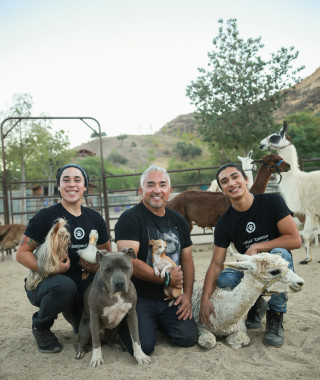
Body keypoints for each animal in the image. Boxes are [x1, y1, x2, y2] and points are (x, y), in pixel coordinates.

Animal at [260, 121, 320, 264]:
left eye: (274, 137)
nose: (260, 144)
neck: (297, 181)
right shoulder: (314, 213)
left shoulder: (311, 211)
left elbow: (307, 236)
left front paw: (307, 259)